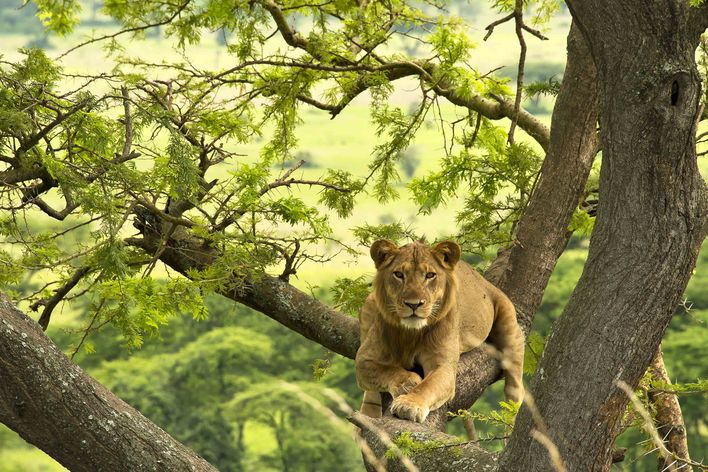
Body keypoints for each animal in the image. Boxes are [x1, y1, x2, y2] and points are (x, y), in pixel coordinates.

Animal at [354, 242, 524, 422]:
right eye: (398, 274)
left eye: (430, 275)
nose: (413, 304)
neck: (411, 333)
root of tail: (483, 281)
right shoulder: (364, 360)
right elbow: (388, 371)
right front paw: (409, 383)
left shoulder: (443, 366)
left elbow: (427, 386)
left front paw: (409, 404)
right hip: (369, 303)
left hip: (508, 322)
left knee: (515, 384)